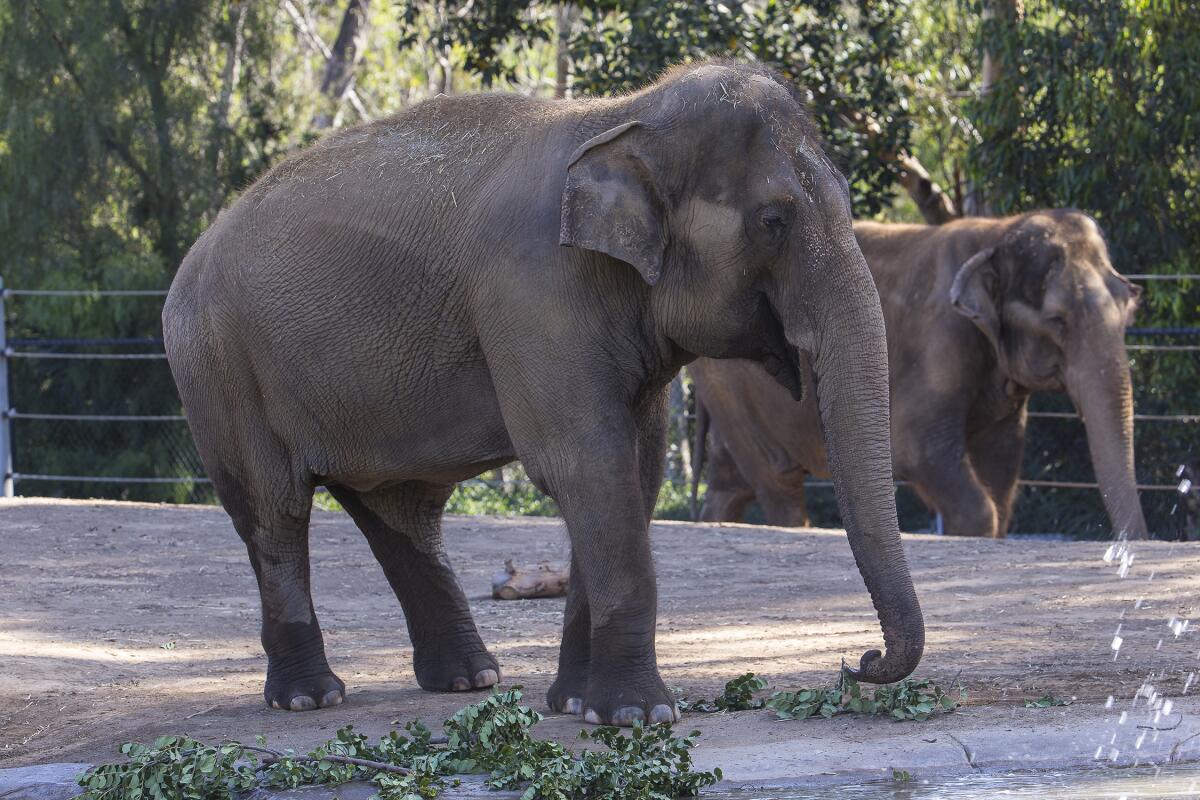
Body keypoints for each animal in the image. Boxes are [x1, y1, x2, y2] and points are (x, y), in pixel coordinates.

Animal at [164, 61, 921, 724]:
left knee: (400, 513)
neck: (622, 116)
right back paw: (311, 698)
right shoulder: (533, 292)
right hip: (219, 370)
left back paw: (468, 680)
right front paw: (637, 716)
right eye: (773, 220)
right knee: (276, 512)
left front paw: (577, 704)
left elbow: (632, 471)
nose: (861, 660)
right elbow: (585, 463)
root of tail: (190, 257)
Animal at [691, 209, 1147, 542]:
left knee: (730, 482)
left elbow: (1001, 463)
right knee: (777, 481)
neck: (996, 233)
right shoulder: (938, 338)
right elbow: (921, 451)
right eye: (1057, 320)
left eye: (1130, 301)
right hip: (733, 384)